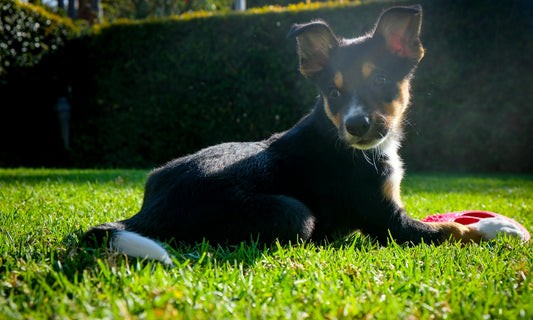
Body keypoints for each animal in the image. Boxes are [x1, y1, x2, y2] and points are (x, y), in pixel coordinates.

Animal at [83, 5, 524, 264]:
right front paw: (499, 228)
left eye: (382, 81)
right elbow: (452, 229)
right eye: (333, 92)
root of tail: (145, 215)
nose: (356, 125)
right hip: (294, 213)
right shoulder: (390, 222)